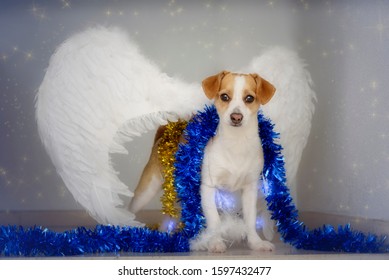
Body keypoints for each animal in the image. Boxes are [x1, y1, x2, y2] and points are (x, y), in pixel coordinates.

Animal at [129, 71, 274, 253]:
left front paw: (255, 243)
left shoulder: (250, 190)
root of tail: (163, 135)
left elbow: (250, 219)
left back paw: (165, 234)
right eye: (224, 97)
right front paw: (215, 242)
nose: (236, 117)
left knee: (170, 215)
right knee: (130, 209)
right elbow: (214, 220)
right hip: (147, 189)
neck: (236, 143)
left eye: (249, 98)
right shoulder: (208, 188)